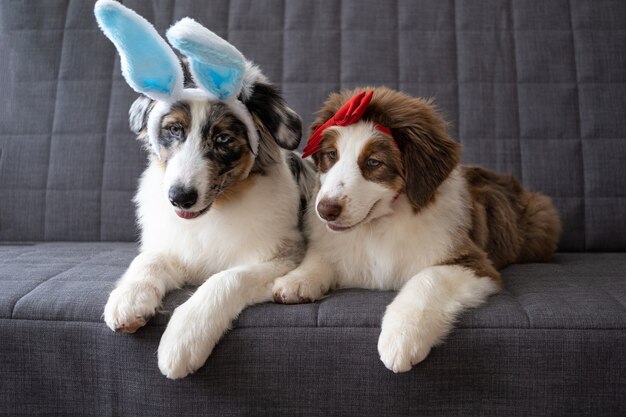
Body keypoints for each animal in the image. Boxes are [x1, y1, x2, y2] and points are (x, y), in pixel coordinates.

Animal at [270, 86, 560, 372]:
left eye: (374, 162)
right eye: (332, 155)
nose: (325, 210)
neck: (379, 226)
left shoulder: (473, 262)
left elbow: (428, 279)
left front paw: (401, 339)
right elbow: (320, 257)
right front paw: (296, 280)